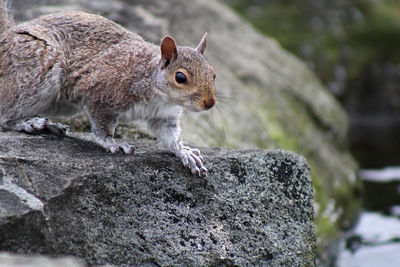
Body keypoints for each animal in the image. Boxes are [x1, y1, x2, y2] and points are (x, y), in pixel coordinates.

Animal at [0, 2, 216, 178]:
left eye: (213, 74)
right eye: (180, 78)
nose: (210, 103)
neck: (159, 94)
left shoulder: (163, 116)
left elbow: (169, 135)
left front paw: (183, 151)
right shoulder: (100, 91)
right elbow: (101, 127)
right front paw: (113, 143)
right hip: (37, 74)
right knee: (6, 114)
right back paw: (28, 122)